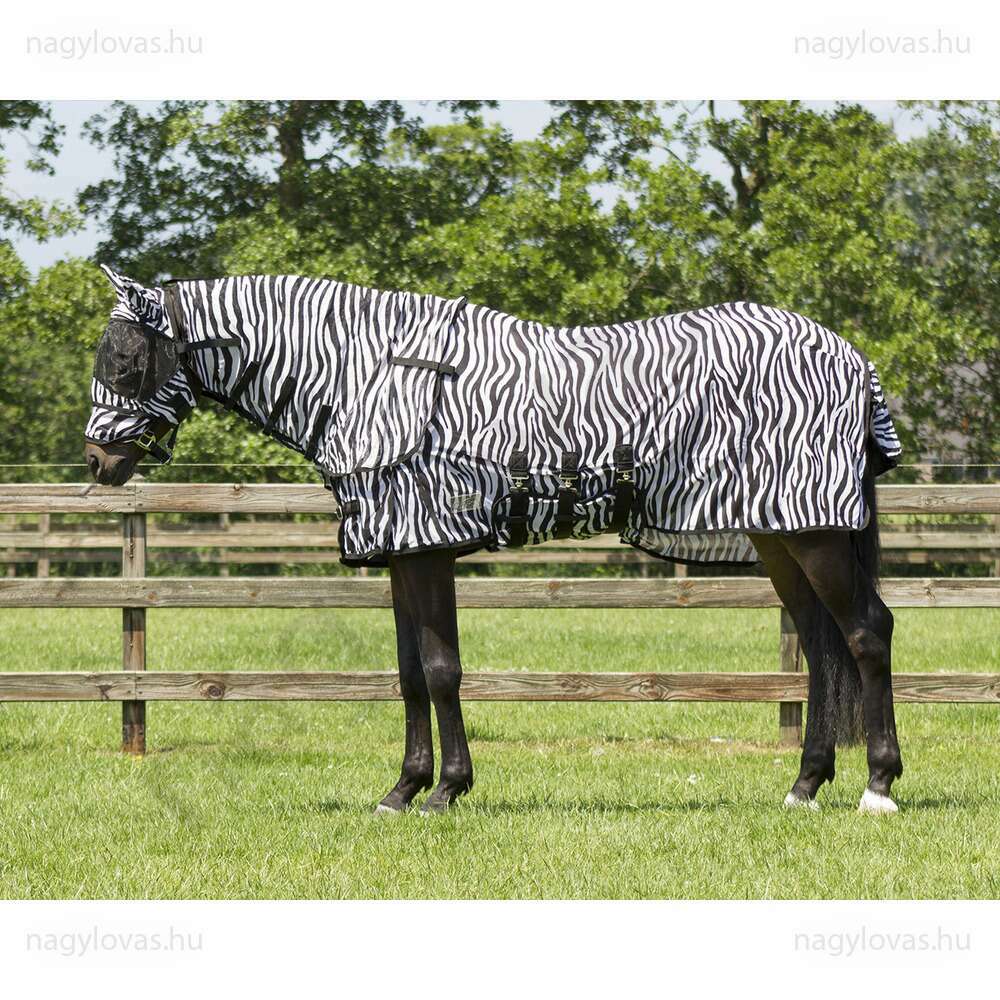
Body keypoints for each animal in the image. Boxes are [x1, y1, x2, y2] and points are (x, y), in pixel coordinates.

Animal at [85, 265, 904, 815]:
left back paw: (879, 785)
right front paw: (402, 789)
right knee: (822, 646)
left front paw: (445, 791)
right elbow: (409, 673)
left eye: (125, 361)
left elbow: (442, 669)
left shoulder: (425, 550)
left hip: (815, 537)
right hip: (779, 536)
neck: (367, 373)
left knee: (866, 632)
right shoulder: (401, 552)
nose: (98, 462)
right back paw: (804, 785)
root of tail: (853, 358)